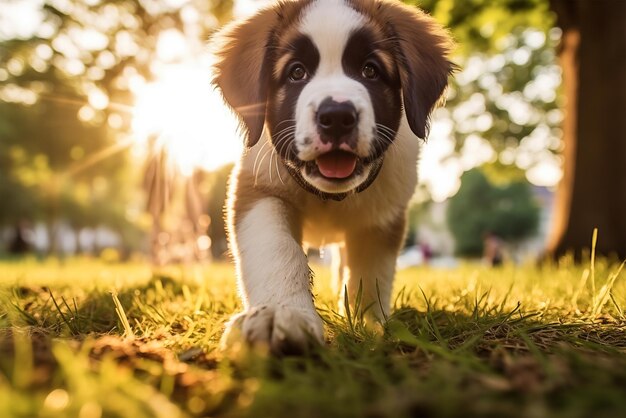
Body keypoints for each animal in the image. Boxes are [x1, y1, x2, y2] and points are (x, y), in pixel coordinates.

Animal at [212, 0, 450, 354]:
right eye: (296, 72)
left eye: (370, 71)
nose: (337, 116)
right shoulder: (259, 192)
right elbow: (277, 250)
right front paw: (279, 313)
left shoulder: (383, 216)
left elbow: (370, 273)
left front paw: (367, 325)